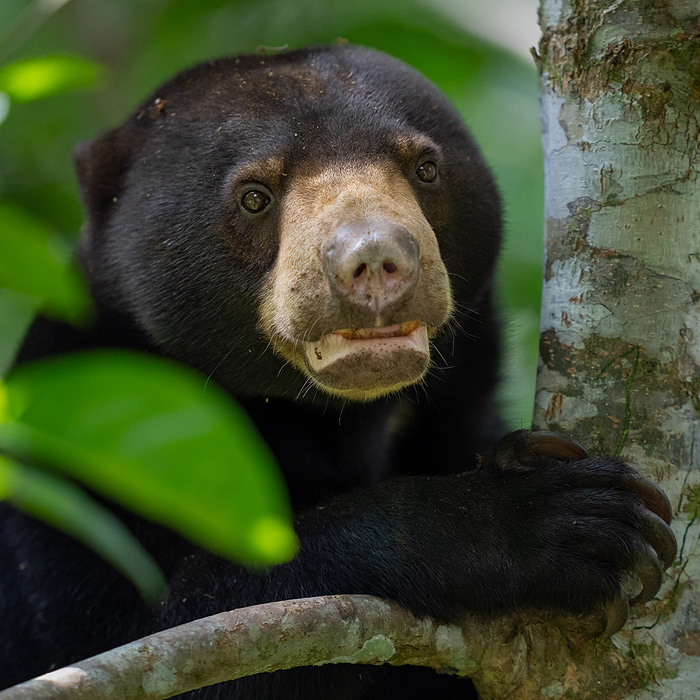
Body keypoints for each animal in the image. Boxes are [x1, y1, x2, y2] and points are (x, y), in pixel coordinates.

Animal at [0, 44, 676, 699]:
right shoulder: (68, 457)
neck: (332, 422)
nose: (375, 259)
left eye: (425, 168)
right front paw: (561, 522)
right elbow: (152, 636)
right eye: (254, 195)